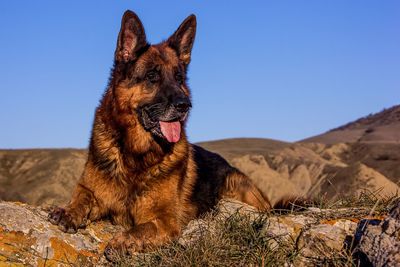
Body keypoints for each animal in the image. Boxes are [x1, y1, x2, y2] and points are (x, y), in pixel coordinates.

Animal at [47, 10, 272, 262]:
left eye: (179, 78)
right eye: (152, 76)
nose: (185, 105)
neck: (135, 154)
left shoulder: (164, 220)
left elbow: (142, 228)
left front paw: (122, 241)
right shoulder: (92, 190)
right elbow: (82, 196)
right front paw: (68, 211)